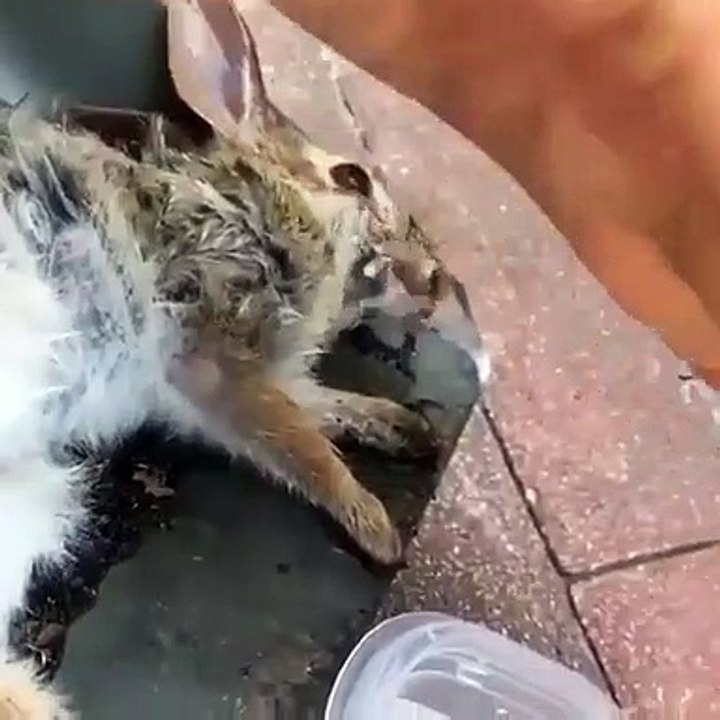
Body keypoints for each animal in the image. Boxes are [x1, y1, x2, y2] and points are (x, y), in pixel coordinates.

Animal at [0, 0, 482, 715]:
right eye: (351, 178)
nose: (438, 282)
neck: (267, 208)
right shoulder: (218, 359)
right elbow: (303, 446)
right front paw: (377, 527)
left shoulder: (241, 378)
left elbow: (320, 407)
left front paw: (406, 429)